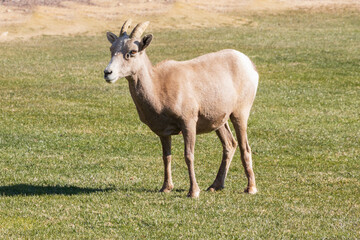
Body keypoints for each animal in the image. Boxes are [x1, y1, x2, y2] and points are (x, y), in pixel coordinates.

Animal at [104, 20, 258, 197]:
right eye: (112, 49)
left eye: (132, 51)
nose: (108, 73)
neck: (158, 86)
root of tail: (249, 64)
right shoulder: (163, 132)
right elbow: (166, 157)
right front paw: (166, 188)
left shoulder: (188, 123)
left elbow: (188, 156)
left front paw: (193, 192)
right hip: (220, 121)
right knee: (230, 145)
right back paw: (215, 186)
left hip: (239, 114)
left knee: (245, 147)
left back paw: (251, 188)